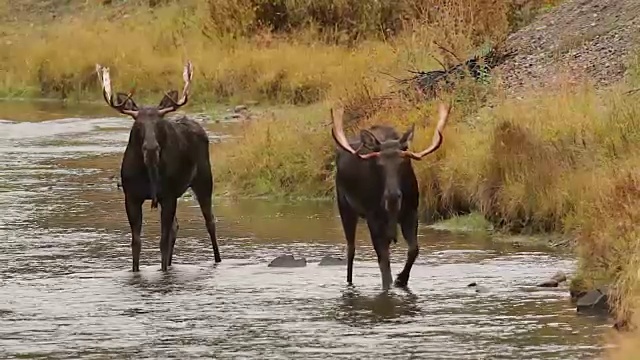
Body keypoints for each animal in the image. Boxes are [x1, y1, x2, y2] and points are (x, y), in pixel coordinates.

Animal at [95, 60, 222, 272]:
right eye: (138, 125)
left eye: (159, 123)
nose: (151, 148)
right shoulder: (132, 197)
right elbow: (136, 242)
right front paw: (137, 270)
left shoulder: (168, 196)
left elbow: (162, 241)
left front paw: (163, 271)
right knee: (176, 227)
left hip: (204, 179)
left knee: (209, 221)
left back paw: (218, 260)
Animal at [330, 101, 450, 290]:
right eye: (379, 164)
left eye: (404, 161)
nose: (392, 197)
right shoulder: (373, 216)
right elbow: (384, 264)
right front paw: (392, 284)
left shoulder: (411, 212)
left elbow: (413, 249)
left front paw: (402, 280)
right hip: (345, 206)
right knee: (351, 249)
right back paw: (349, 283)